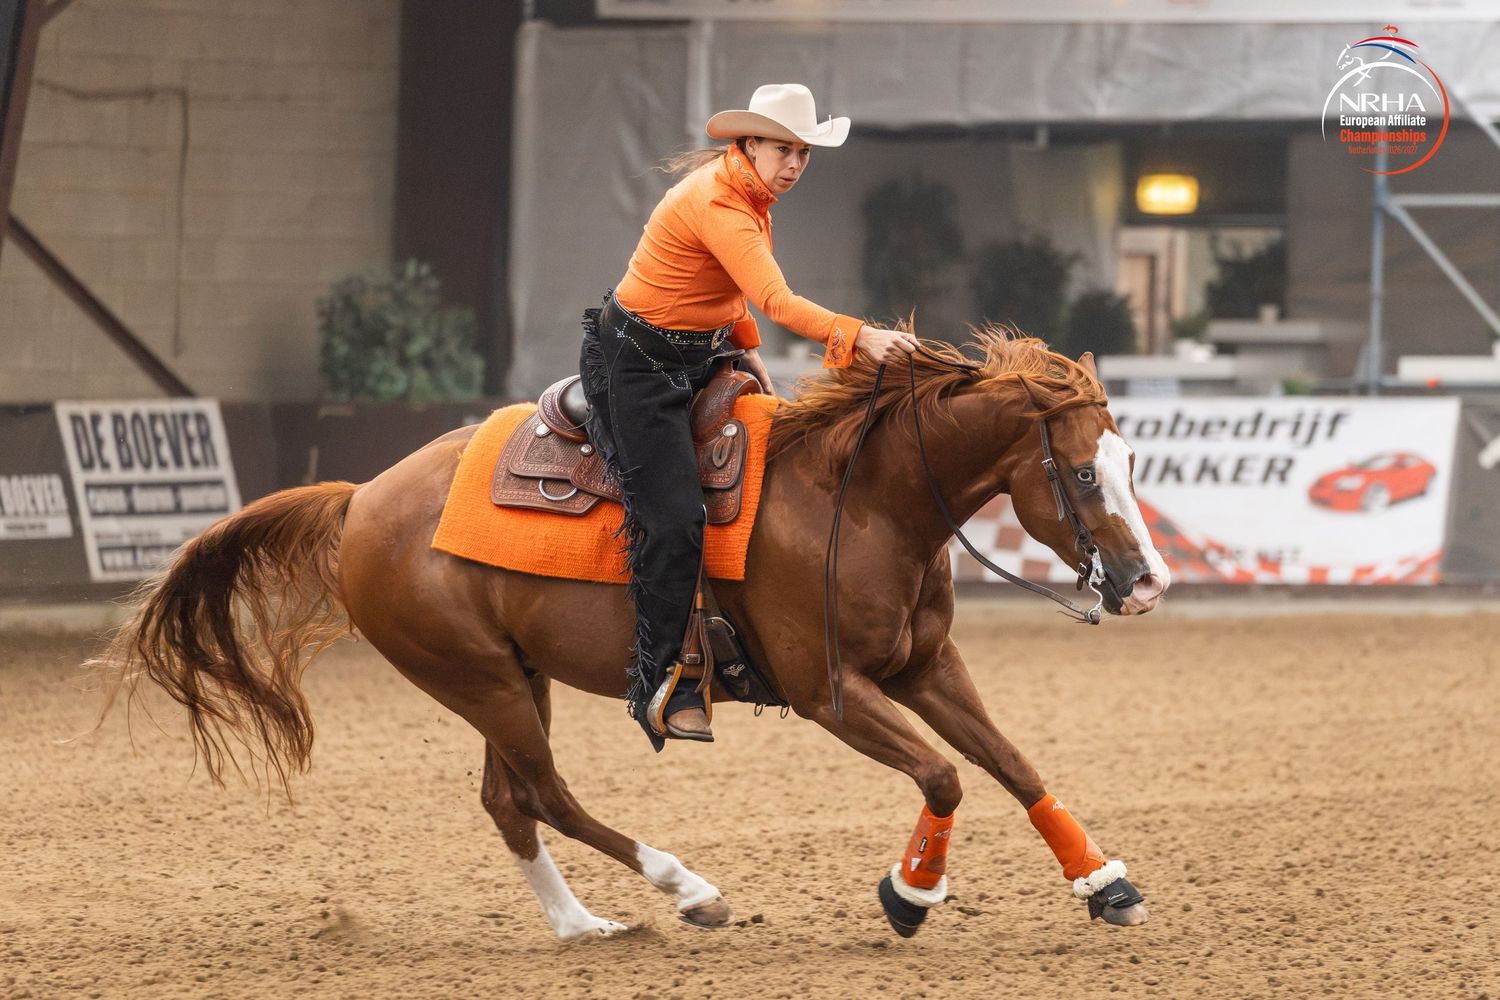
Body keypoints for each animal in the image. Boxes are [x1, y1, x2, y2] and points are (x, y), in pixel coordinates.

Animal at [95, 330, 1170, 941]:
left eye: (1129, 462)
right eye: (1082, 473)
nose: (1149, 583)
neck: (861, 497)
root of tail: (361, 497)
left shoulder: (924, 666)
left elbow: (1011, 763)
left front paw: (1105, 883)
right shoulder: (831, 692)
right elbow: (945, 775)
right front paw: (909, 897)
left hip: (511, 676)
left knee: (508, 802)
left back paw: (584, 928)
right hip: (477, 678)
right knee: (547, 795)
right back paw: (686, 888)